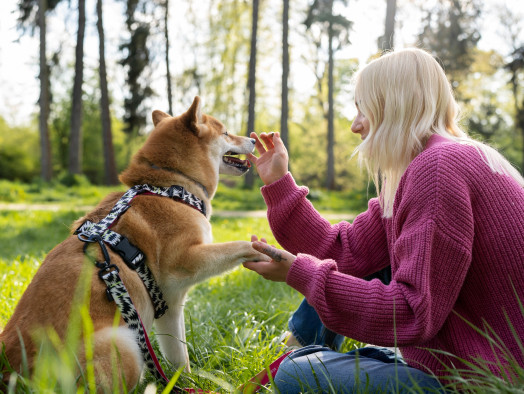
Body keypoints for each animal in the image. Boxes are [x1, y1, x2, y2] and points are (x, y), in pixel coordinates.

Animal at [0, 97, 270, 390]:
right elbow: (182, 356)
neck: (171, 187)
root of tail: (14, 375)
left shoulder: (167, 308)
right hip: (124, 342)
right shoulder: (182, 270)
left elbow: (175, 356)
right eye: (226, 133)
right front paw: (264, 251)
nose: (253, 139)